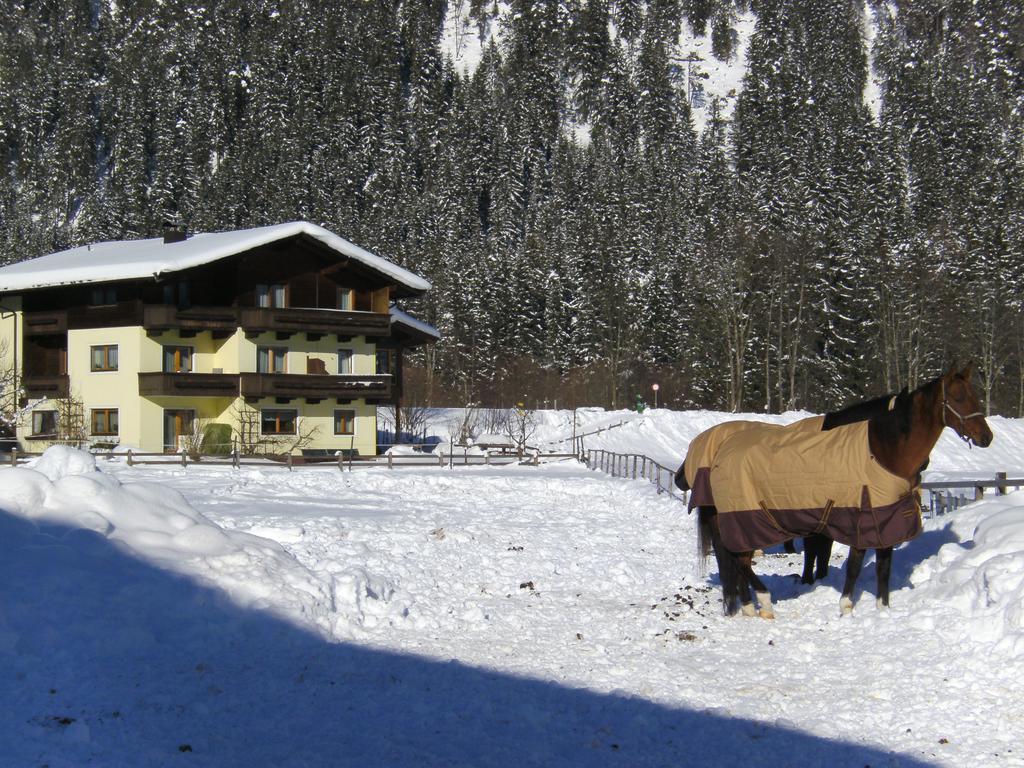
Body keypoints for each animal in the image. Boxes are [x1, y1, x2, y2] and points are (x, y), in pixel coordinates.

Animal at [679, 364, 991, 618]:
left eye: (975, 396)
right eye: (958, 397)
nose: (986, 437)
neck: (881, 451)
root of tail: (721, 453)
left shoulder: (883, 521)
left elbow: (882, 568)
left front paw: (882, 611)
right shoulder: (857, 520)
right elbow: (849, 564)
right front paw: (845, 608)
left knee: (735, 559)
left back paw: (747, 606)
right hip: (745, 520)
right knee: (738, 558)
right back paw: (763, 602)